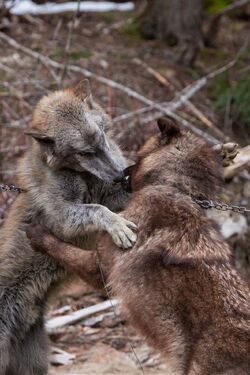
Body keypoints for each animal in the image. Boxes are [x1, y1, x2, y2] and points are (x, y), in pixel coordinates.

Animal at [0, 80, 137, 375]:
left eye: (102, 139)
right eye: (84, 153)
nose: (120, 175)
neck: (81, 174)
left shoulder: (118, 194)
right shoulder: (65, 215)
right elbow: (98, 210)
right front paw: (117, 225)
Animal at [28, 119, 250, 375]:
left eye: (138, 156)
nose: (120, 175)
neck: (174, 187)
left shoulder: (98, 269)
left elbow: (60, 247)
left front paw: (36, 234)